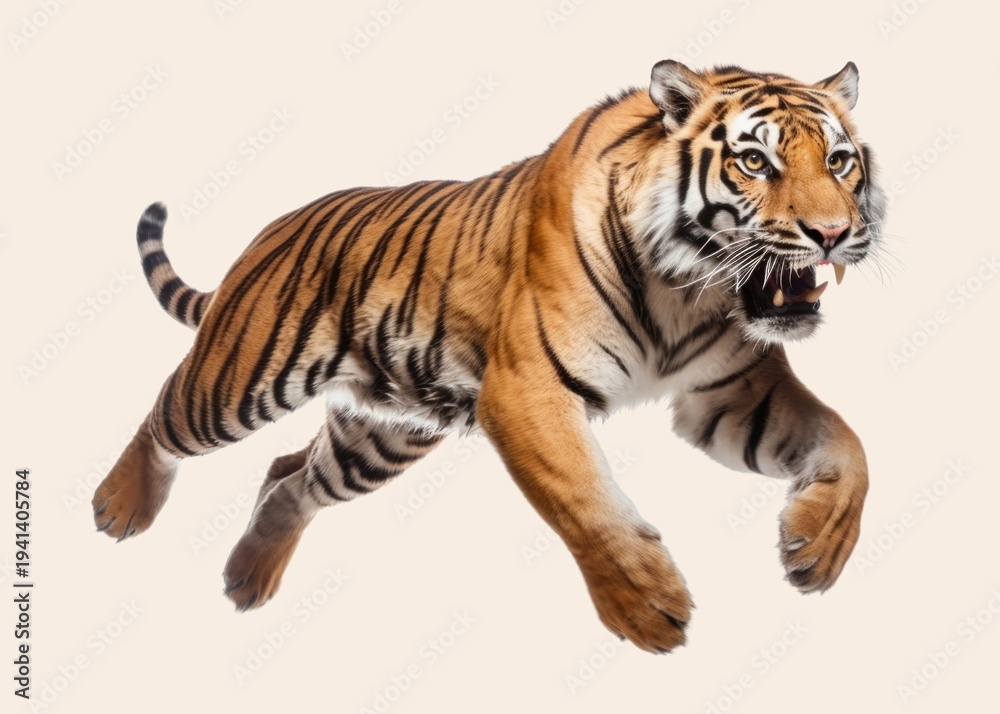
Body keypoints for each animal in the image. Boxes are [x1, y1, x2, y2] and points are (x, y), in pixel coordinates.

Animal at [92, 59, 887, 654]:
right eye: (755, 161)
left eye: (839, 161)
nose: (831, 233)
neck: (689, 290)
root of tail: (269, 230)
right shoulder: (529, 389)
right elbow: (583, 498)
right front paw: (646, 605)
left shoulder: (730, 393)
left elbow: (848, 444)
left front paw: (819, 546)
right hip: (240, 378)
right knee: (163, 417)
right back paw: (119, 506)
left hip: (382, 434)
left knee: (290, 478)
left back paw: (249, 575)